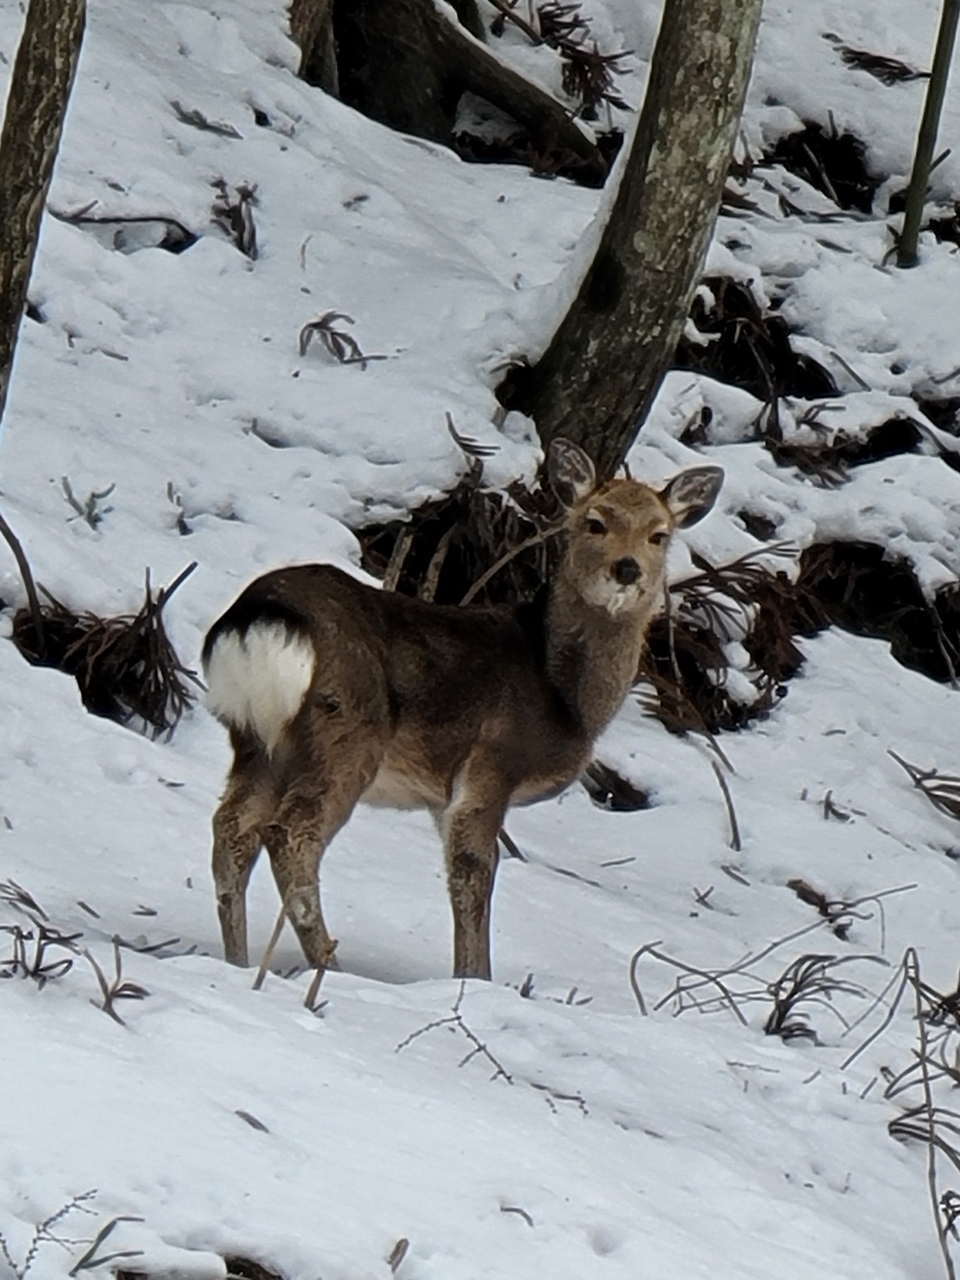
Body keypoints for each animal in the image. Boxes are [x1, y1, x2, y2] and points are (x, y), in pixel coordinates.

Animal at [207, 440, 727, 977]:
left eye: (659, 534)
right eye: (595, 522)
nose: (627, 568)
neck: (561, 694)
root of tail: (258, 616)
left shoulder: (441, 795)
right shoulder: (492, 763)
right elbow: (475, 872)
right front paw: (476, 979)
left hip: (258, 739)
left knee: (231, 828)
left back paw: (237, 961)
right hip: (346, 730)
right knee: (290, 834)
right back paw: (326, 963)